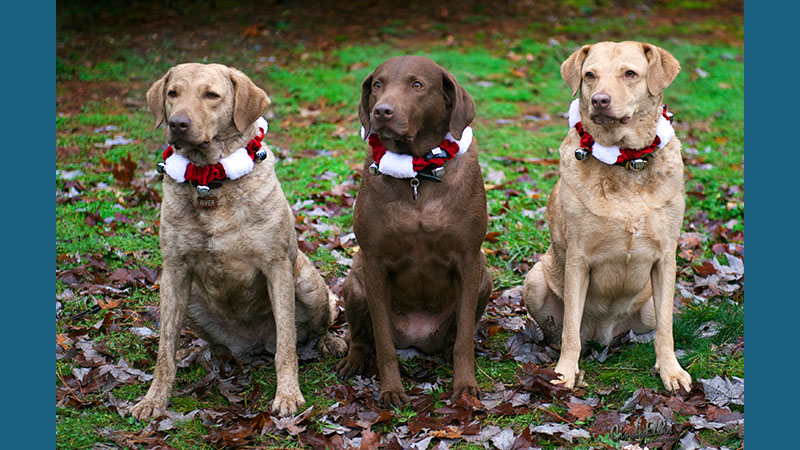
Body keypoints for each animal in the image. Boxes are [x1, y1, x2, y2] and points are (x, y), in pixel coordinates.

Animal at [130, 61, 346, 420]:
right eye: (173, 93)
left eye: (211, 95)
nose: (177, 123)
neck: (209, 180)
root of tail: (255, 343)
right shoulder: (174, 270)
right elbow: (164, 350)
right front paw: (153, 399)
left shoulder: (276, 266)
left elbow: (287, 345)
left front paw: (288, 395)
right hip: (190, 299)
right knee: (208, 342)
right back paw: (201, 353)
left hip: (308, 285)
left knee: (310, 331)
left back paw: (330, 343)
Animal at [332, 55, 494, 404]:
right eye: (378, 84)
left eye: (417, 85)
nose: (382, 111)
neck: (418, 174)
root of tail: (417, 339)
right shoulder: (375, 262)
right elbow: (382, 343)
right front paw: (391, 389)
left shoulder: (469, 258)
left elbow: (464, 339)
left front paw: (465, 386)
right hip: (355, 283)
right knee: (360, 337)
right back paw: (352, 361)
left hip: (484, 277)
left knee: (455, 336)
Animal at [520, 43, 692, 394]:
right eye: (590, 75)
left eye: (630, 73)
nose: (600, 99)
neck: (625, 163)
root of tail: (604, 334)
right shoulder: (578, 258)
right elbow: (570, 329)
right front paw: (565, 373)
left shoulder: (666, 256)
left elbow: (666, 329)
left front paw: (670, 370)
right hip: (535, 280)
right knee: (564, 330)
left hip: (648, 305)